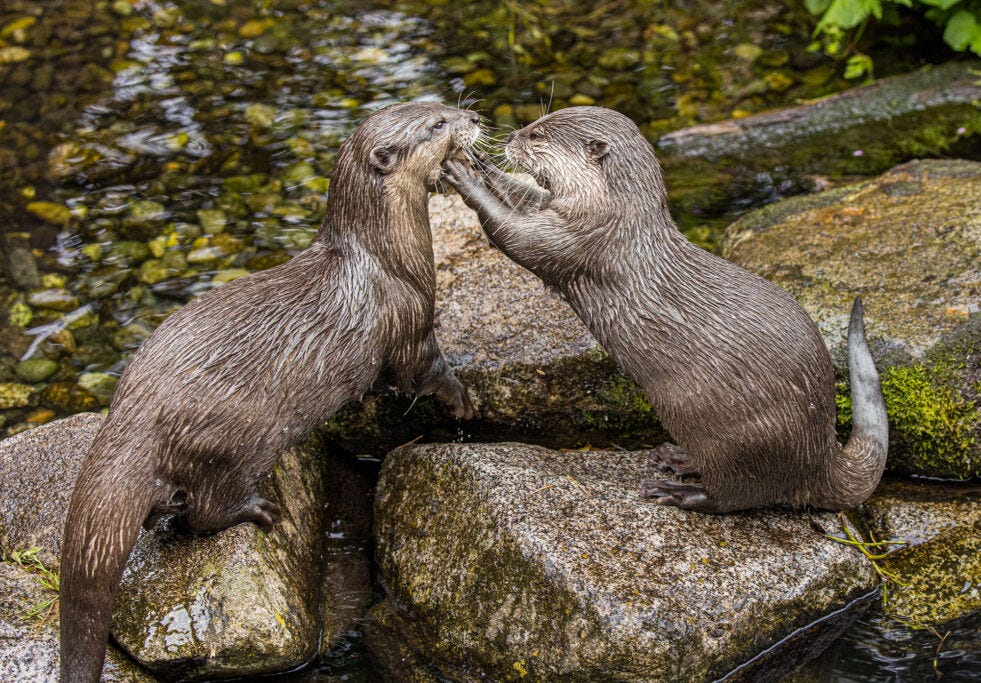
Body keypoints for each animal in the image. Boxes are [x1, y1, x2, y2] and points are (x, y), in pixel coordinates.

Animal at [60, 102, 479, 683]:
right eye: (437, 124)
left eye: (440, 104)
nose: (472, 117)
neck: (385, 256)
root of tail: (134, 411)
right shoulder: (410, 320)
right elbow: (423, 373)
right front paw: (462, 398)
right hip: (233, 440)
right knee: (204, 512)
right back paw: (260, 510)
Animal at [443, 106, 888, 514]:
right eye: (535, 123)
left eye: (536, 135)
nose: (510, 137)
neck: (617, 215)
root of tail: (821, 455)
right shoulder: (557, 213)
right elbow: (525, 196)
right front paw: (482, 164)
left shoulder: (580, 241)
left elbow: (512, 235)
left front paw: (465, 176)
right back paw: (677, 458)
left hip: (745, 441)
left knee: (737, 496)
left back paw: (678, 491)